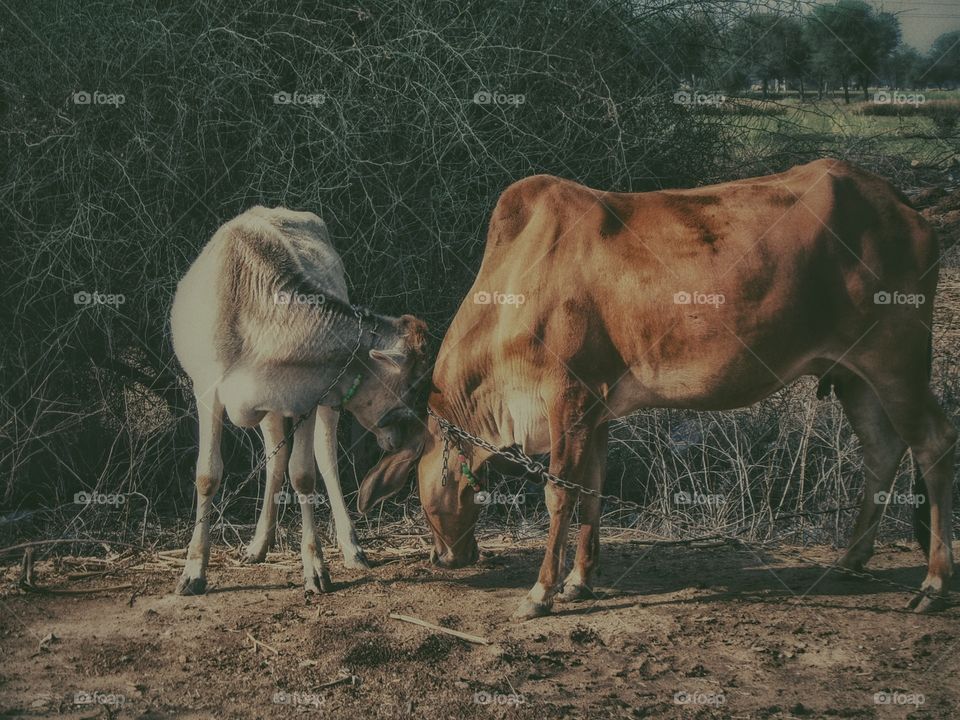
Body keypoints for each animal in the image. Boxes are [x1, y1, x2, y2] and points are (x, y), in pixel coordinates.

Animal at [171, 205, 428, 596]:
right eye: (412, 384)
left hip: (326, 403)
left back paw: (351, 546)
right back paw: (259, 544)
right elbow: (207, 475)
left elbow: (304, 474)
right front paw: (193, 570)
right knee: (274, 459)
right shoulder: (207, 390)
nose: (404, 437)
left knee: (325, 459)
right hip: (269, 410)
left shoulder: (308, 398)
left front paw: (316, 567)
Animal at [358, 159, 955, 619]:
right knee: (882, 450)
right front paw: (580, 581)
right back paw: (851, 561)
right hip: (854, 376)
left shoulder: (568, 401)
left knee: (933, 443)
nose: (445, 558)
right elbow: (591, 491)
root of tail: (904, 204)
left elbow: (559, 495)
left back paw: (932, 585)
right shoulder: (596, 412)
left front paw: (541, 592)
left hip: (897, 364)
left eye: (416, 482)